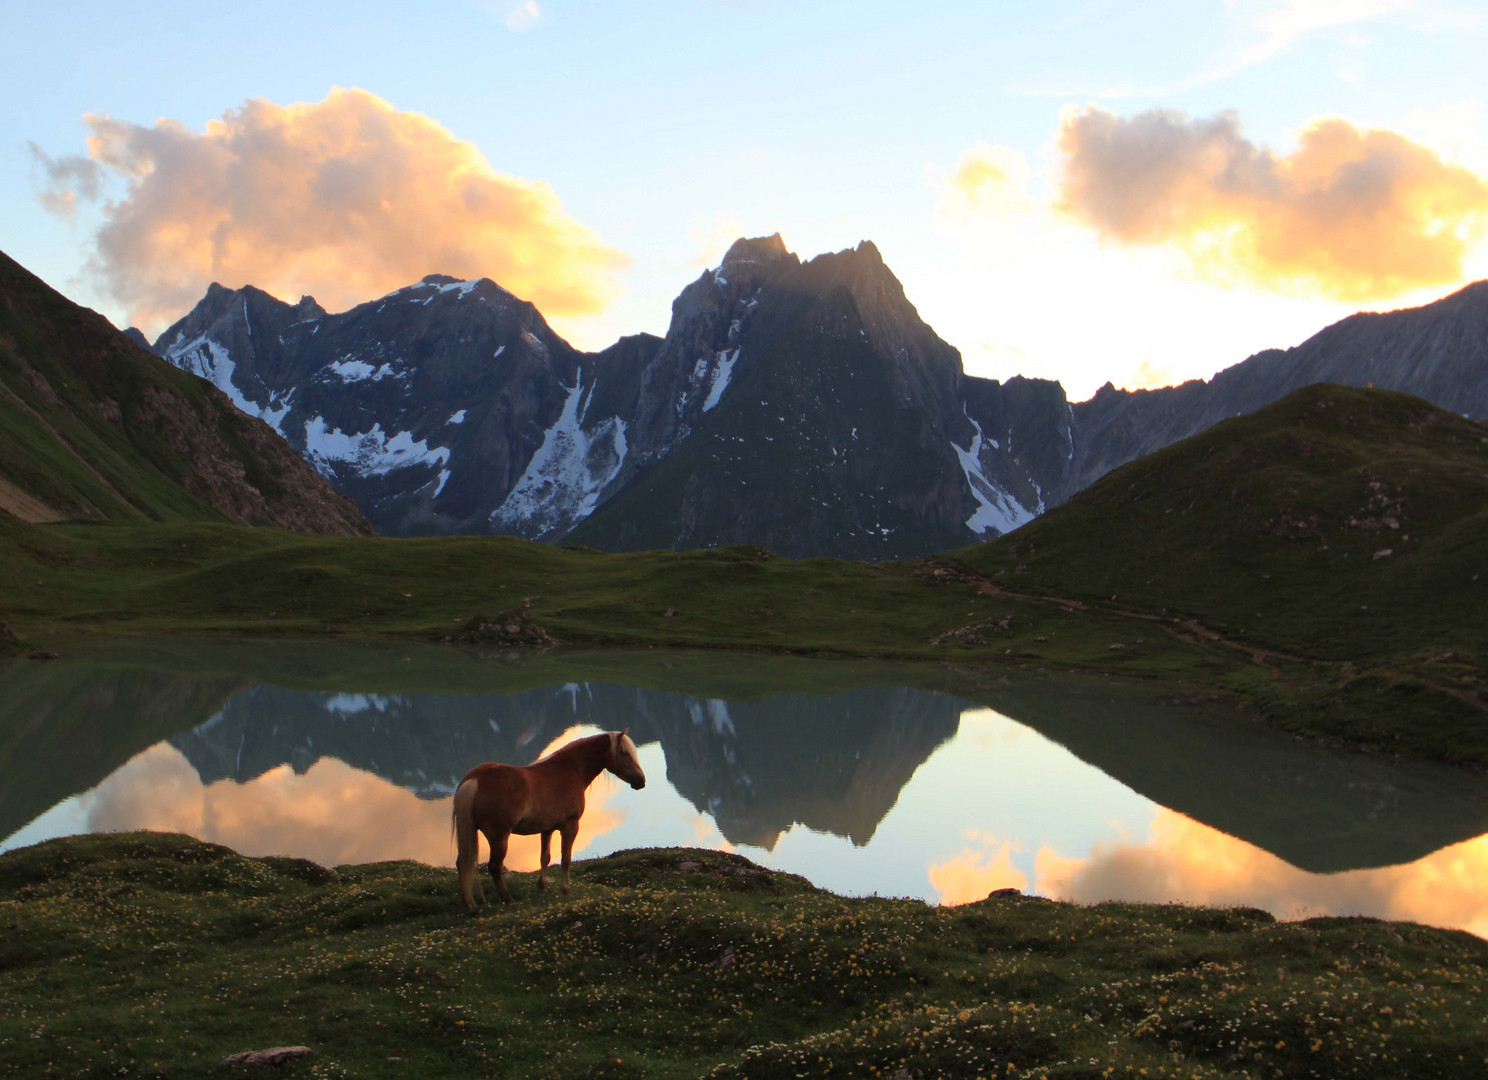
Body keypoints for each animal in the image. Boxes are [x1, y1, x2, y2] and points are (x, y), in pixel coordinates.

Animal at [449, 731, 642, 910]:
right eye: (624, 752)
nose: (641, 780)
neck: (569, 770)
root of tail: (475, 778)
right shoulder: (570, 826)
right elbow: (566, 858)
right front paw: (565, 890)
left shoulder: (547, 828)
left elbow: (545, 857)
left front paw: (541, 887)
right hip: (499, 838)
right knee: (494, 866)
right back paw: (508, 899)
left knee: (462, 863)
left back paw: (467, 903)